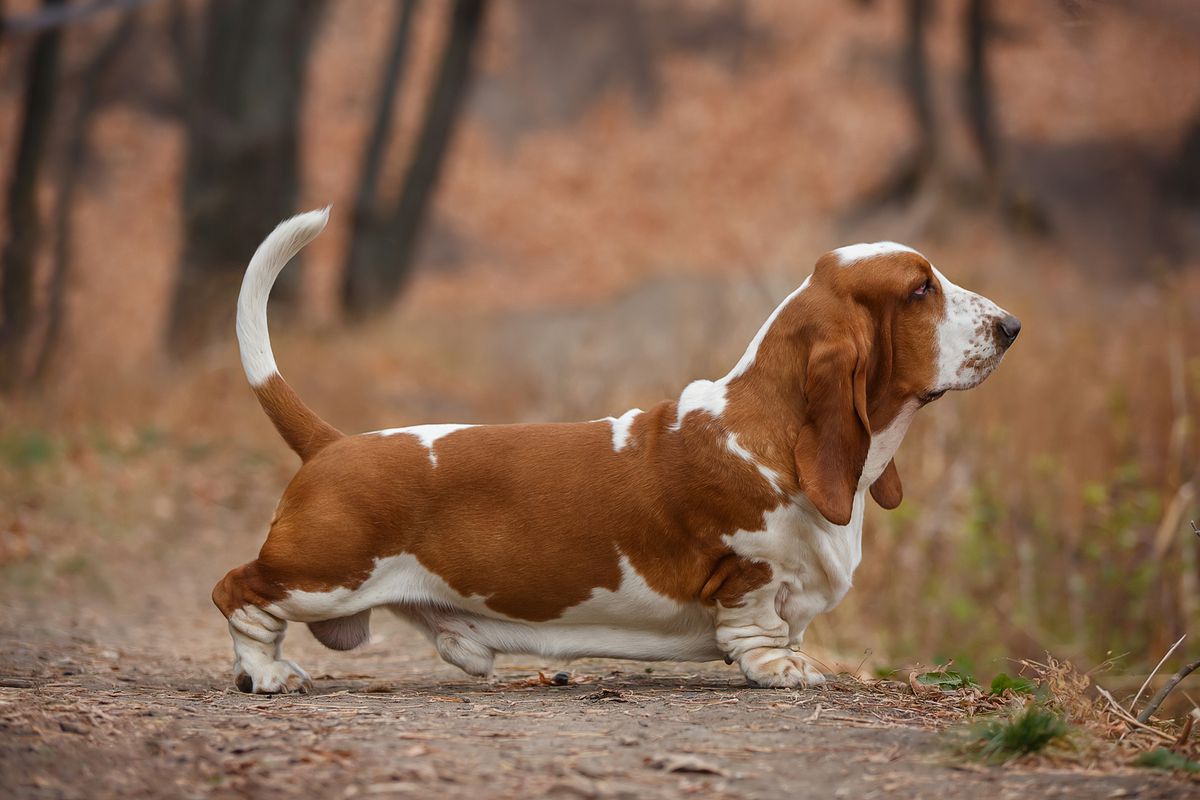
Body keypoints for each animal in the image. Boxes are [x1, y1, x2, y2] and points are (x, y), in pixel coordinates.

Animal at [216, 209, 1022, 690]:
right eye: (919, 291)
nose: (1012, 326)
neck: (766, 428)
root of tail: (331, 444)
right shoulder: (750, 575)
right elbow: (757, 625)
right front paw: (784, 669)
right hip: (323, 575)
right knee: (238, 592)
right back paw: (269, 673)